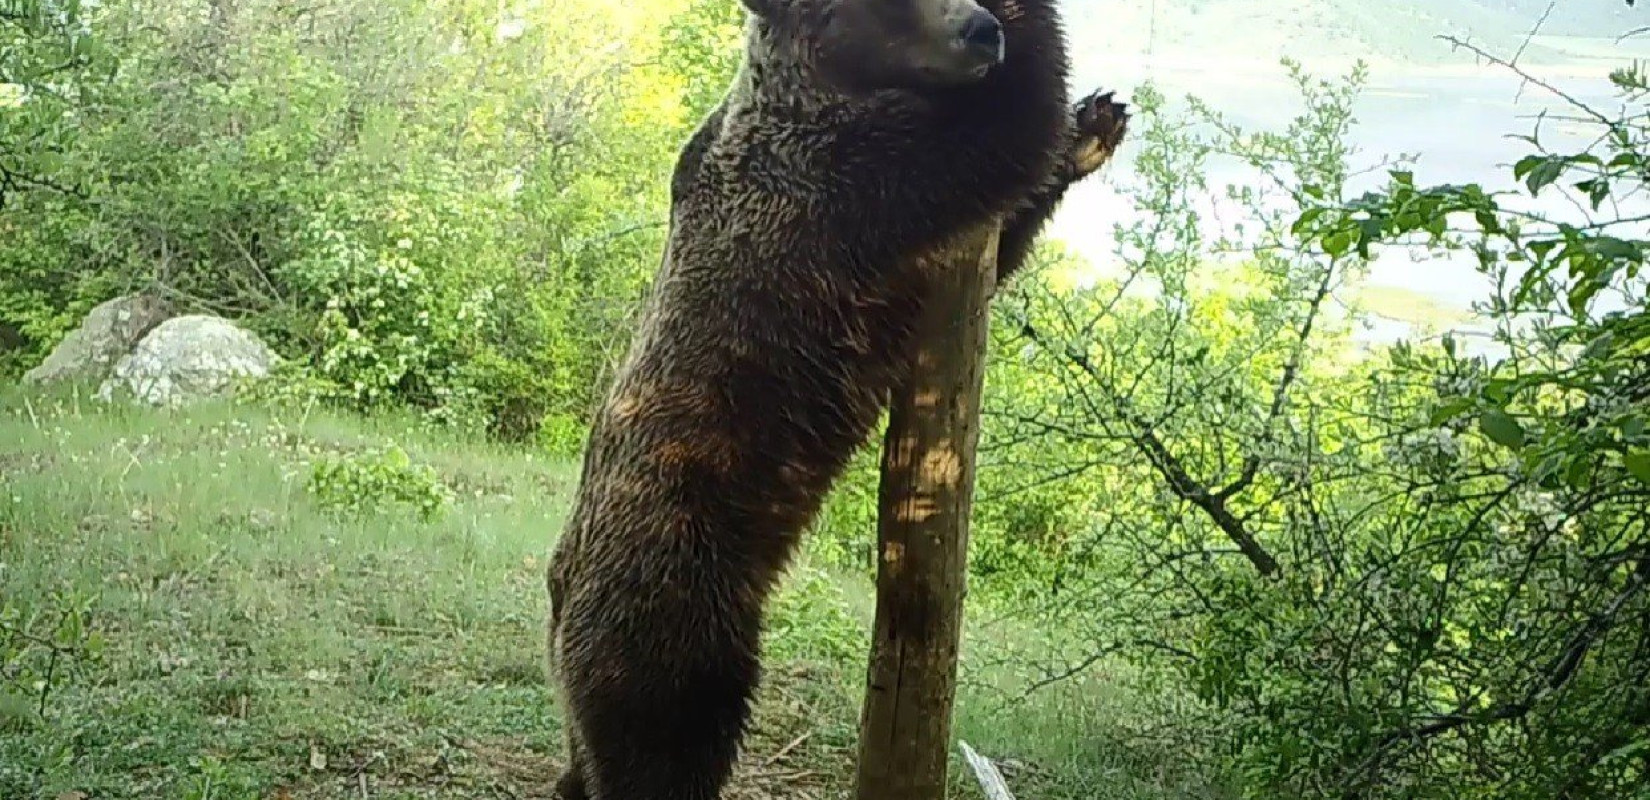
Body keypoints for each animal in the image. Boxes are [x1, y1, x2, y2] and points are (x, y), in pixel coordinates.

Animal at [547, 0, 1128, 795]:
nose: (981, 30)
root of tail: (557, 594)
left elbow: (1002, 229)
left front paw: (1098, 122)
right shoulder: (836, 188)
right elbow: (995, 142)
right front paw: (1045, 56)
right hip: (673, 585)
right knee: (669, 728)